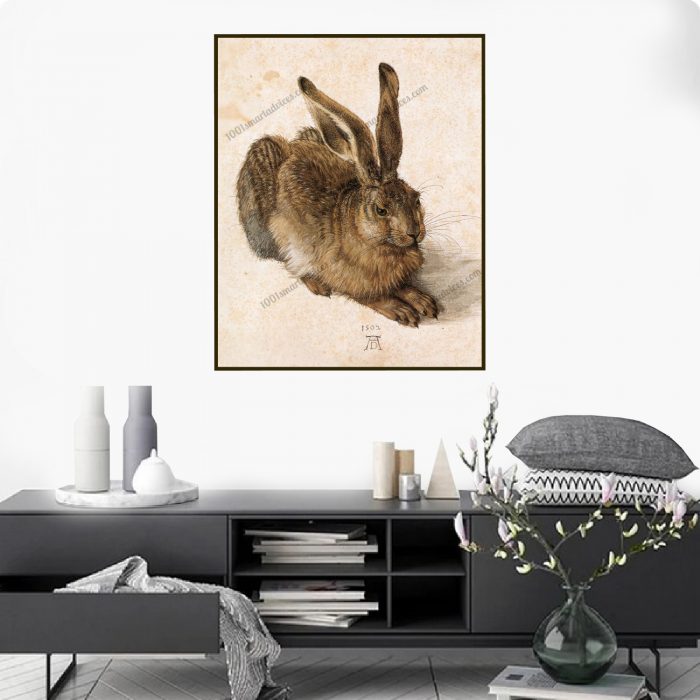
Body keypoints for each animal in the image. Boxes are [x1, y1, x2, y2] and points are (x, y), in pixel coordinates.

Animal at [236, 63, 438, 327]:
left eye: (417, 199)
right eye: (381, 210)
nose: (414, 233)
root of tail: (292, 147)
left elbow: (403, 287)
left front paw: (424, 301)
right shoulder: (346, 278)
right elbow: (372, 296)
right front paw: (401, 310)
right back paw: (316, 284)